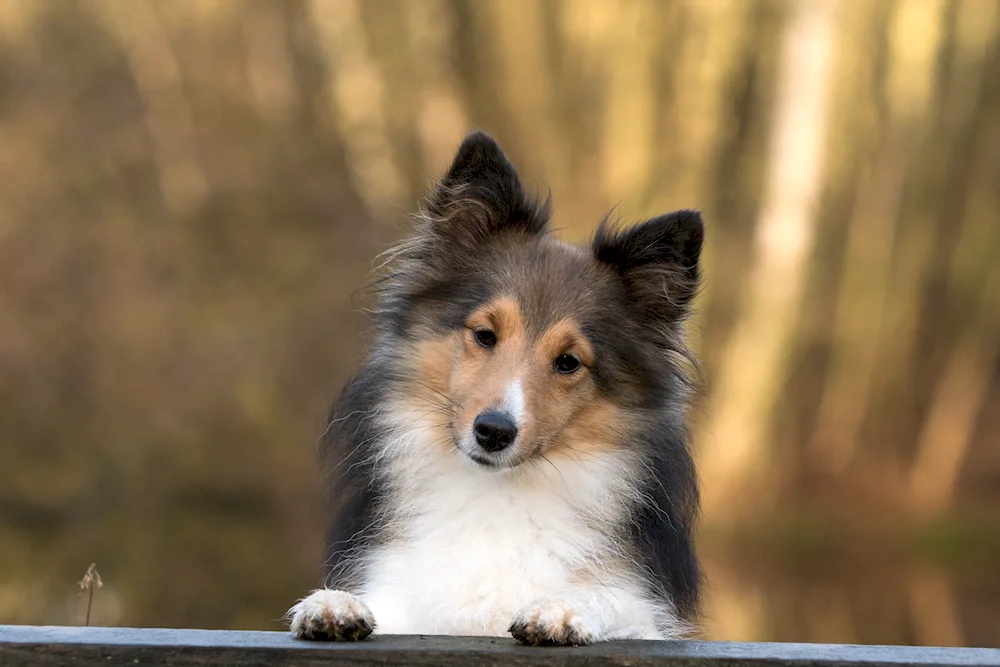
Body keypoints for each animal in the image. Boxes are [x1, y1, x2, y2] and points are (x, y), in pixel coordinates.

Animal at [288, 130, 704, 648]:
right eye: (485, 335)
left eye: (569, 362)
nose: (493, 431)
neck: (495, 495)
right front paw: (335, 605)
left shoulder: (642, 616)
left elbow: (612, 606)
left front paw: (561, 610)